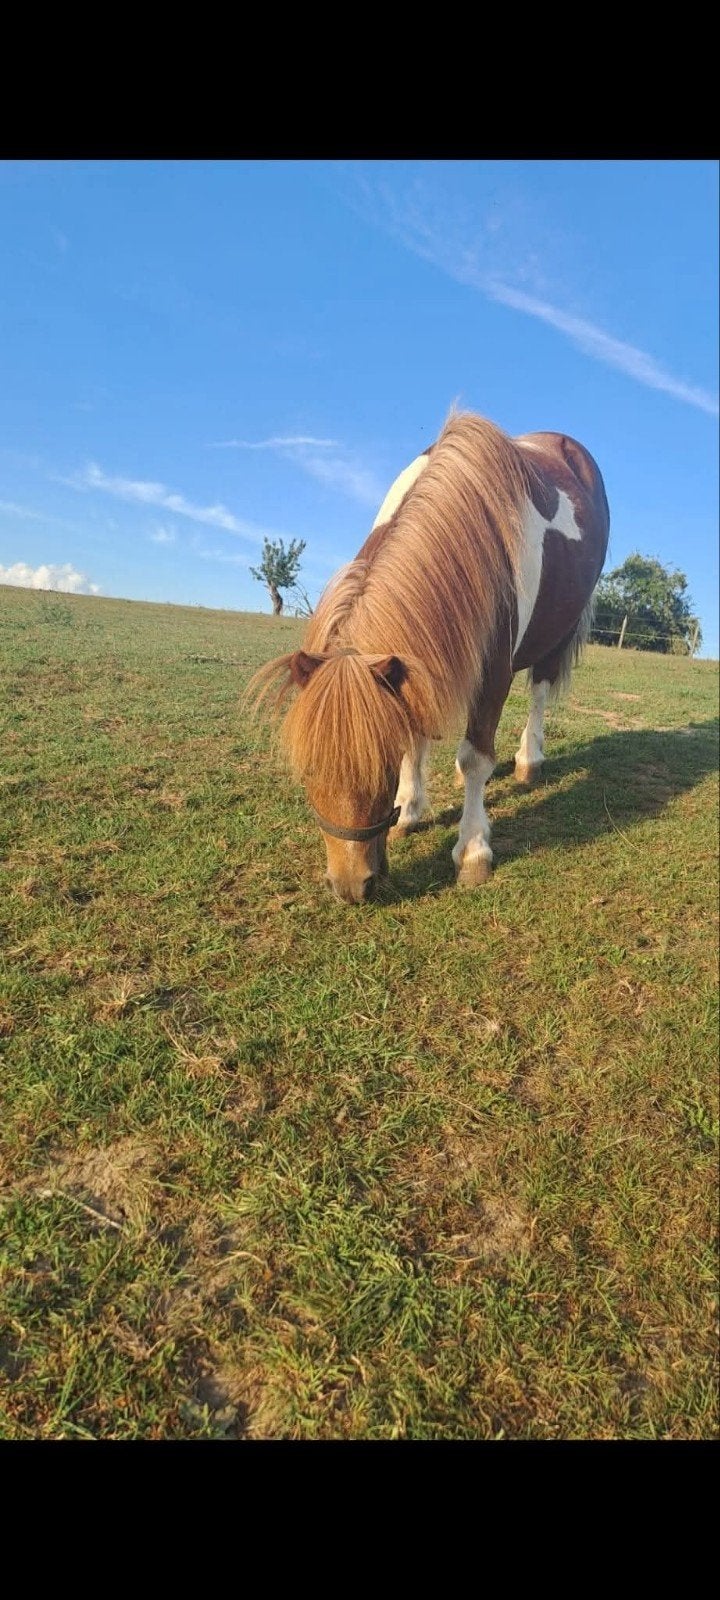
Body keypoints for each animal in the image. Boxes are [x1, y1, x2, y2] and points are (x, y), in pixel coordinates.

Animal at [249, 410, 610, 904]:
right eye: (307, 771)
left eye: (378, 768)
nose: (350, 886)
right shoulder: (416, 662)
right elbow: (417, 732)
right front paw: (409, 810)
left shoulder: (493, 674)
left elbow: (475, 757)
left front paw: (473, 852)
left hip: (556, 636)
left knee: (538, 692)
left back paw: (528, 761)